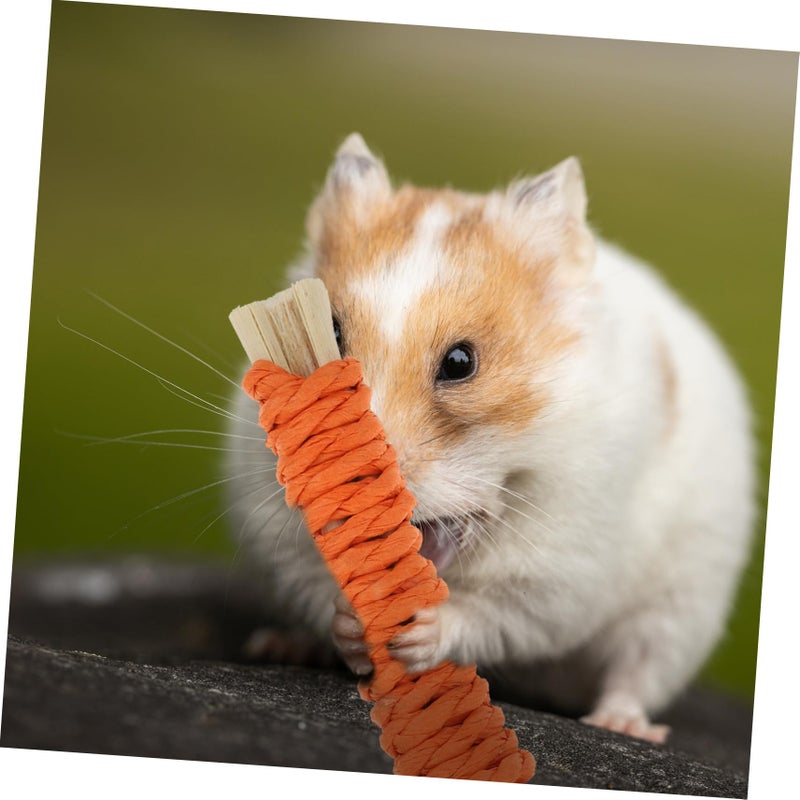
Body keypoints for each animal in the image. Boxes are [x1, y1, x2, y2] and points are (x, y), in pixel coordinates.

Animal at [225, 133, 755, 743]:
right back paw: (279, 645)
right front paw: (353, 623)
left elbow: (492, 614)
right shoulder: (276, 532)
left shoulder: (559, 574)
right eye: (329, 335)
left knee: (638, 669)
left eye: (461, 363)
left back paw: (622, 725)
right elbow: (319, 584)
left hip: (681, 606)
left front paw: (420, 630)